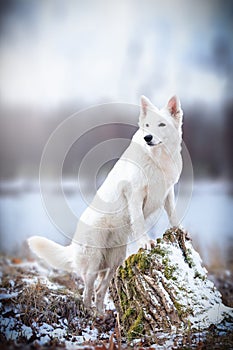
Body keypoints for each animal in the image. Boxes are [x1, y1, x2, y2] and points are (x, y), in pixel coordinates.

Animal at [28, 94, 183, 314]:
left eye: (161, 124)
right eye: (147, 126)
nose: (148, 138)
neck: (157, 159)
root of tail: (73, 242)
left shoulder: (168, 192)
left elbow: (173, 214)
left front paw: (178, 230)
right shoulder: (135, 195)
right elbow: (140, 224)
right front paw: (146, 243)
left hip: (115, 262)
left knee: (100, 291)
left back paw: (101, 314)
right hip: (93, 263)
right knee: (87, 291)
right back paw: (90, 314)